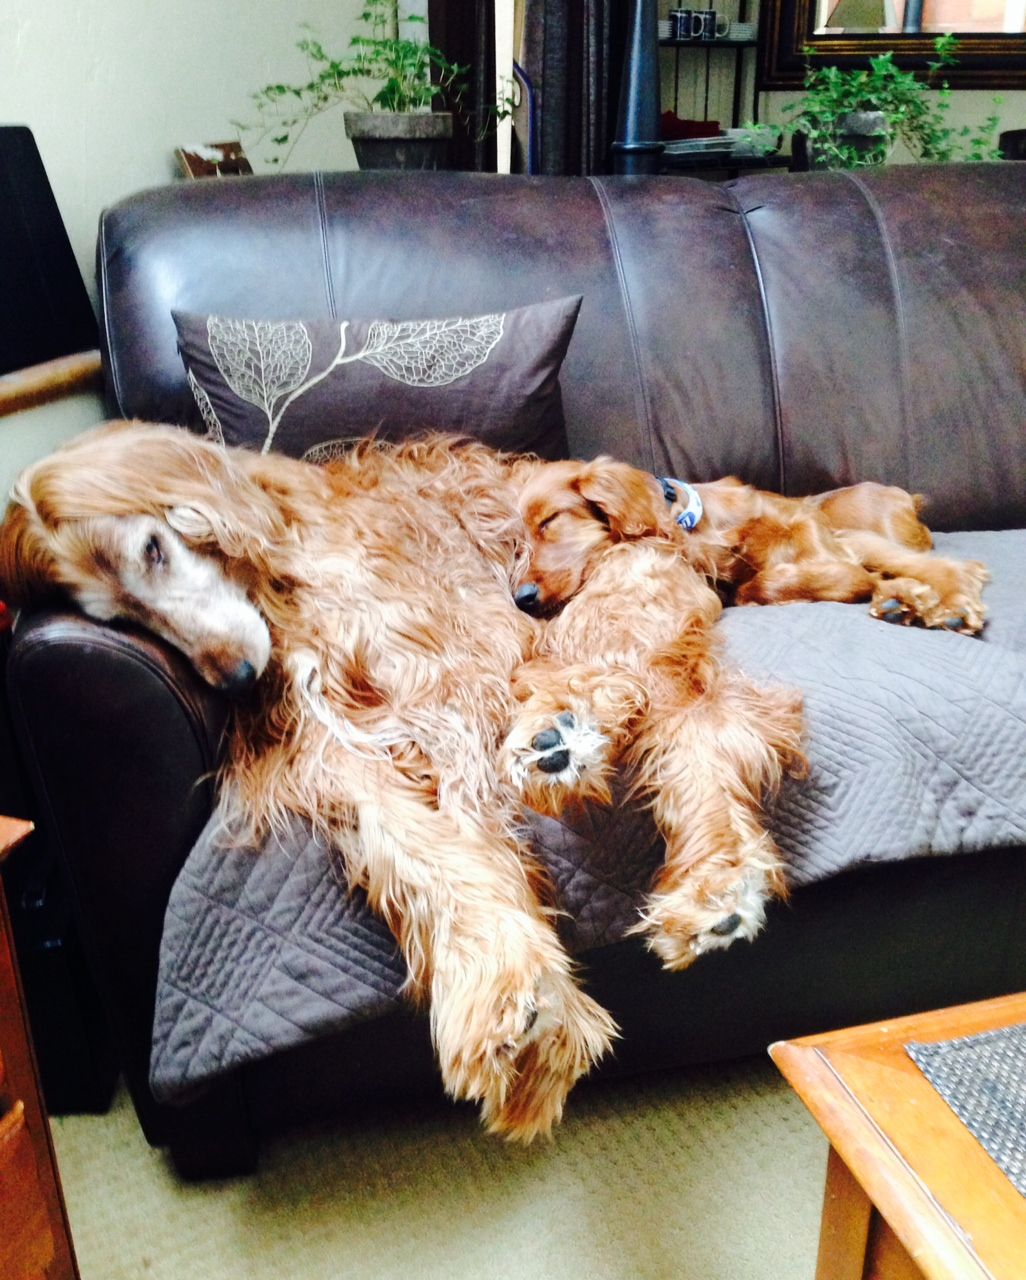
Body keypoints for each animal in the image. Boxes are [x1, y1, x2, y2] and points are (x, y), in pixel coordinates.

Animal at [0, 421, 620, 1143]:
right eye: (119, 619)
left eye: (153, 550)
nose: (236, 678)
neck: (276, 582)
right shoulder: (335, 744)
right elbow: (415, 844)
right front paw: (501, 982)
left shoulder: (445, 667)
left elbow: (467, 795)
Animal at [502, 457, 989, 968]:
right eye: (515, 542)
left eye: (550, 521)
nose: (523, 597)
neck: (692, 523)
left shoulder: (804, 526)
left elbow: (828, 574)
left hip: (862, 528)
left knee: (948, 566)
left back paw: (940, 601)